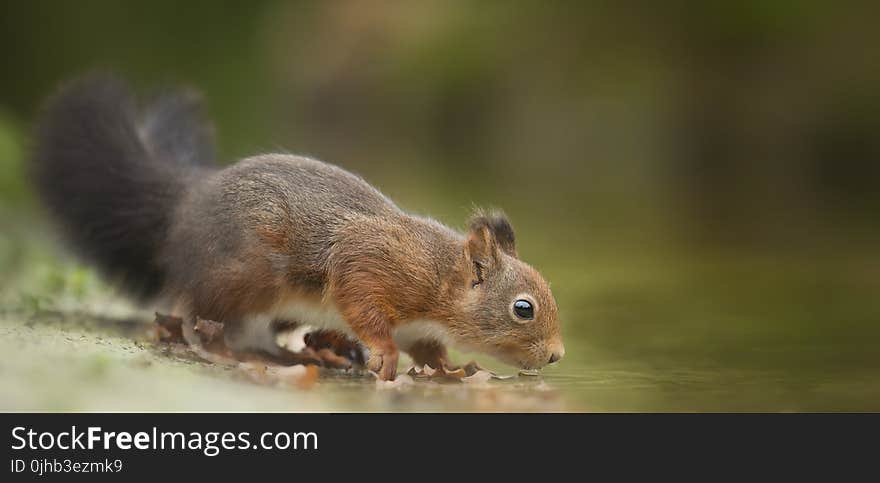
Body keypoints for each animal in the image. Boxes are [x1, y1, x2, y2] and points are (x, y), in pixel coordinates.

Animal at [29, 73, 564, 380]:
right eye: (523, 308)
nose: (558, 356)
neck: (440, 277)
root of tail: (187, 201)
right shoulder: (375, 264)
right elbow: (361, 301)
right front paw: (384, 353)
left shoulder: (421, 324)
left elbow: (429, 350)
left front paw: (450, 368)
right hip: (243, 276)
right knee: (200, 314)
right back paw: (233, 351)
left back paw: (322, 353)